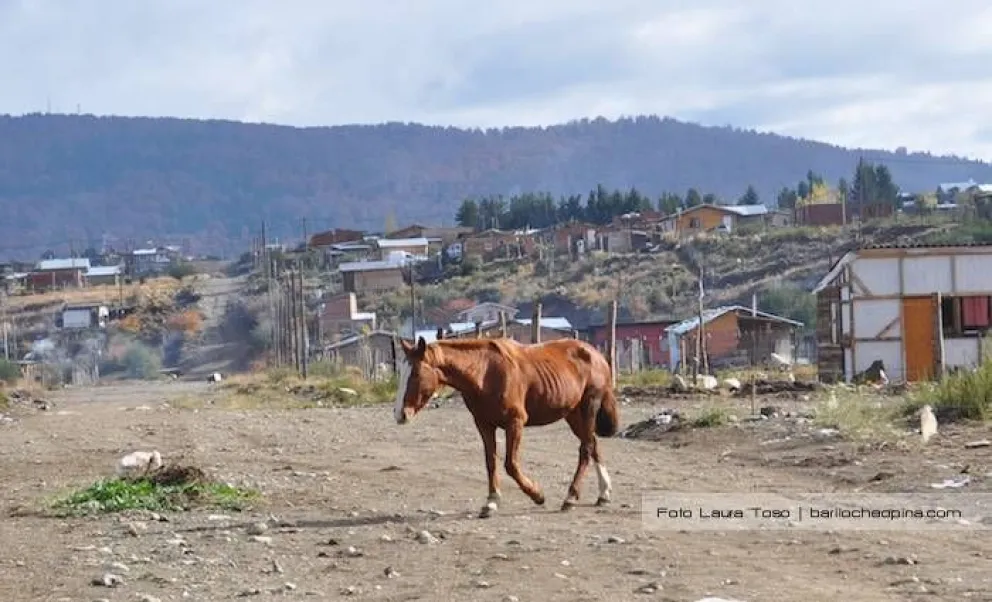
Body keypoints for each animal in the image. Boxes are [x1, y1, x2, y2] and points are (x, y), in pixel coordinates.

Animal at [394, 330, 620, 518]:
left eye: (415, 373)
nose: (399, 414)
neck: (485, 373)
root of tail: (596, 355)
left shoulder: (515, 422)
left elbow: (510, 464)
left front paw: (537, 494)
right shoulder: (484, 424)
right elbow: (491, 462)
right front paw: (491, 502)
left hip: (589, 406)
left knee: (586, 448)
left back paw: (570, 497)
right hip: (572, 414)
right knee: (592, 444)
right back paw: (604, 493)